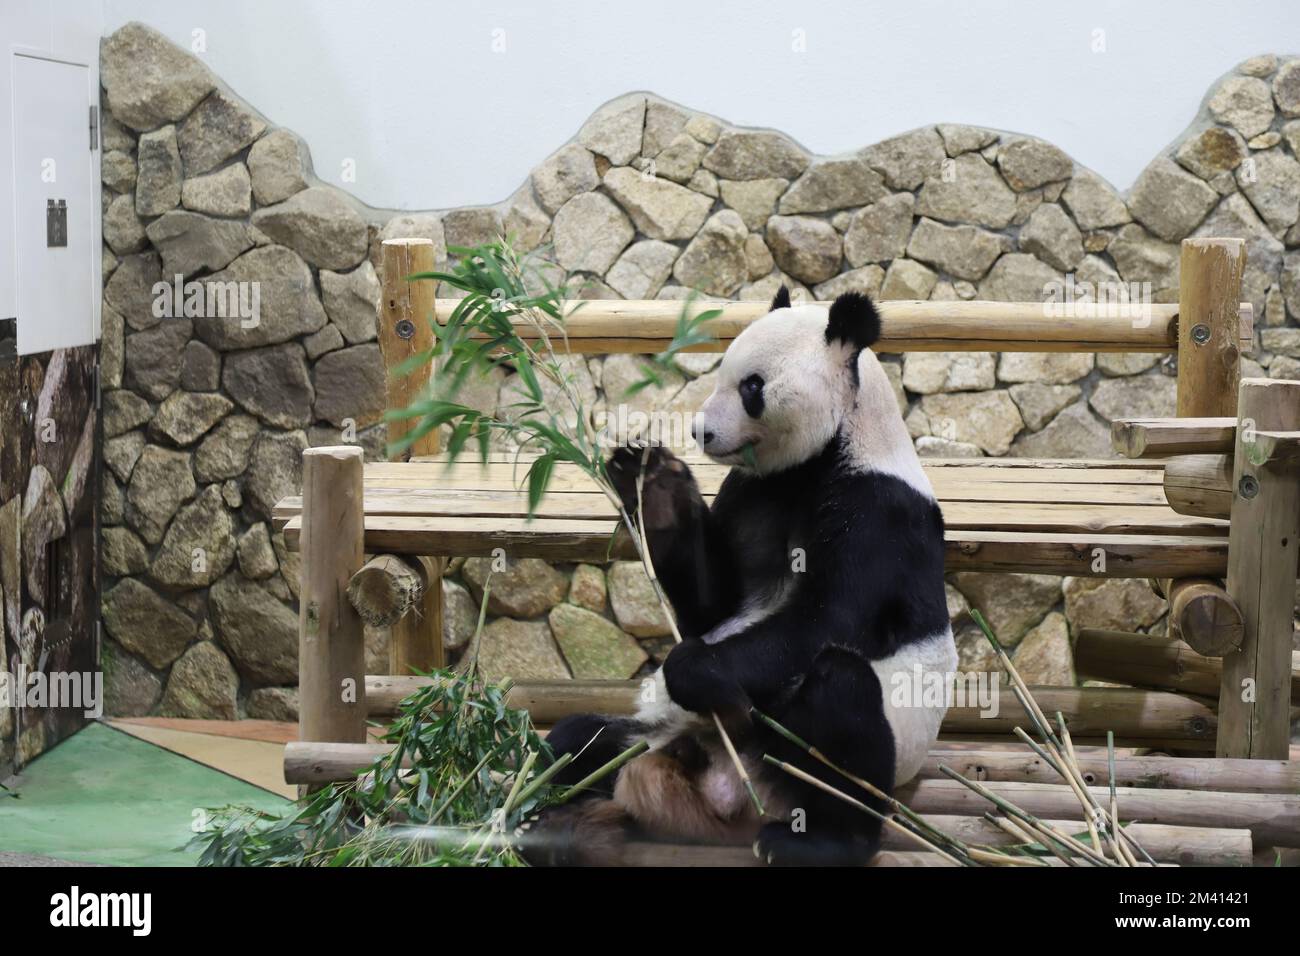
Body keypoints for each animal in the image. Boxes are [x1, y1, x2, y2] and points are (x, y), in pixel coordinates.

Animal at [530, 286, 956, 868]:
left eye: (751, 386)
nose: (700, 431)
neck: (831, 450)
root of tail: (729, 794)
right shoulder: (756, 488)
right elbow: (715, 605)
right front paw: (654, 482)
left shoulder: (879, 511)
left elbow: (827, 619)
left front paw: (691, 667)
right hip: (652, 737)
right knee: (578, 741)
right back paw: (541, 809)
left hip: (858, 752)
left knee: (841, 696)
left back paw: (810, 842)